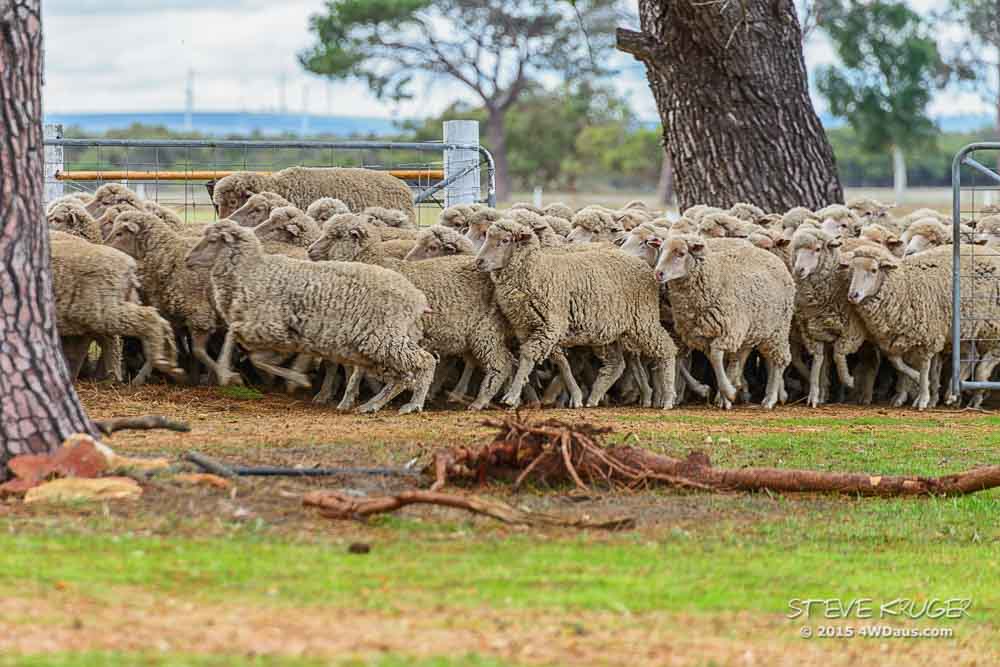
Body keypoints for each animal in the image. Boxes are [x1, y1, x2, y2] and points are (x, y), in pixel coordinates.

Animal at [105, 211, 225, 385]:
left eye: (119, 233)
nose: (103, 247)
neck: (168, 255)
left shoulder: (200, 313)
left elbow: (198, 351)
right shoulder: (170, 316)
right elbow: (155, 350)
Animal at [186, 221, 436, 414]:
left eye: (212, 240)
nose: (187, 259)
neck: (252, 272)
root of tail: (417, 298)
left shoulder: (272, 329)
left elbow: (252, 353)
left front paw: (297, 379)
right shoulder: (271, 333)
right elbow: (240, 343)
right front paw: (228, 373)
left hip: (383, 339)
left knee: (425, 362)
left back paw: (413, 404)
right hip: (381, 344)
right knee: (402, 376)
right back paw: (371, 405)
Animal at [308, 214, 511, 411]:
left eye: (335, 236)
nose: (309, 250)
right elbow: (358, 372)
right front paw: (348, 400)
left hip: (486, 331)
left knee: (502, 363)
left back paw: (481, 401)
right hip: (468, 337)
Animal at [475, 219, 678, 409]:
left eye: (505, 240)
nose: (479, 261)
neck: (537, 271)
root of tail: (644, 265)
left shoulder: (552, 325)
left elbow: (528, 356)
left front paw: (511, 396)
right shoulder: (528, 328)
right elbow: (560, 362)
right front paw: (575, 395)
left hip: (644, 320)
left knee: (667, 349)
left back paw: (668, 397)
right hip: (607, 331)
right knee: (616, 364)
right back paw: (594, 397)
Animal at [654, 234, 794, 409]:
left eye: (681, 253)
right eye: (660, 250)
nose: (658, 273)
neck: (715, 280)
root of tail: (773, 258)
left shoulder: (728, 330)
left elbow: (715, 356)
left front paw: (728, 393)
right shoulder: (702, 336)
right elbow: (714, 360)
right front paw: (724, 395)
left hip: (779, 328)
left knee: (779, 360)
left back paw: (770, 398)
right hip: (754, 330)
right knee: (743, 358)